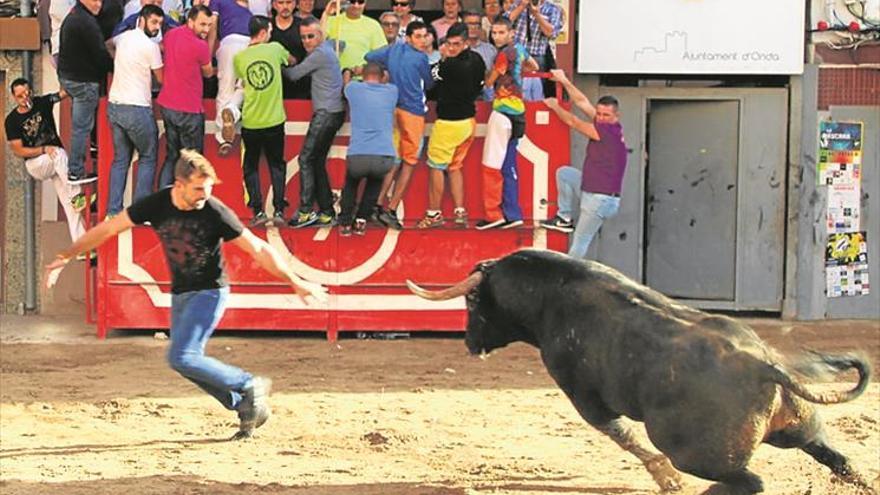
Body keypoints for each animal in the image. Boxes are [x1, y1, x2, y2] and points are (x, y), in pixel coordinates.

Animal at [410, 252, 876, 495]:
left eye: (473, 302)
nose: (469, 343)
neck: (552, 295)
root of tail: (766, 366)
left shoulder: (583, 395)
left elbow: (620, 433)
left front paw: (665, 478)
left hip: (701, 454)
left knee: (751, 481)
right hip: (800, 428)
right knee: (838, 458)